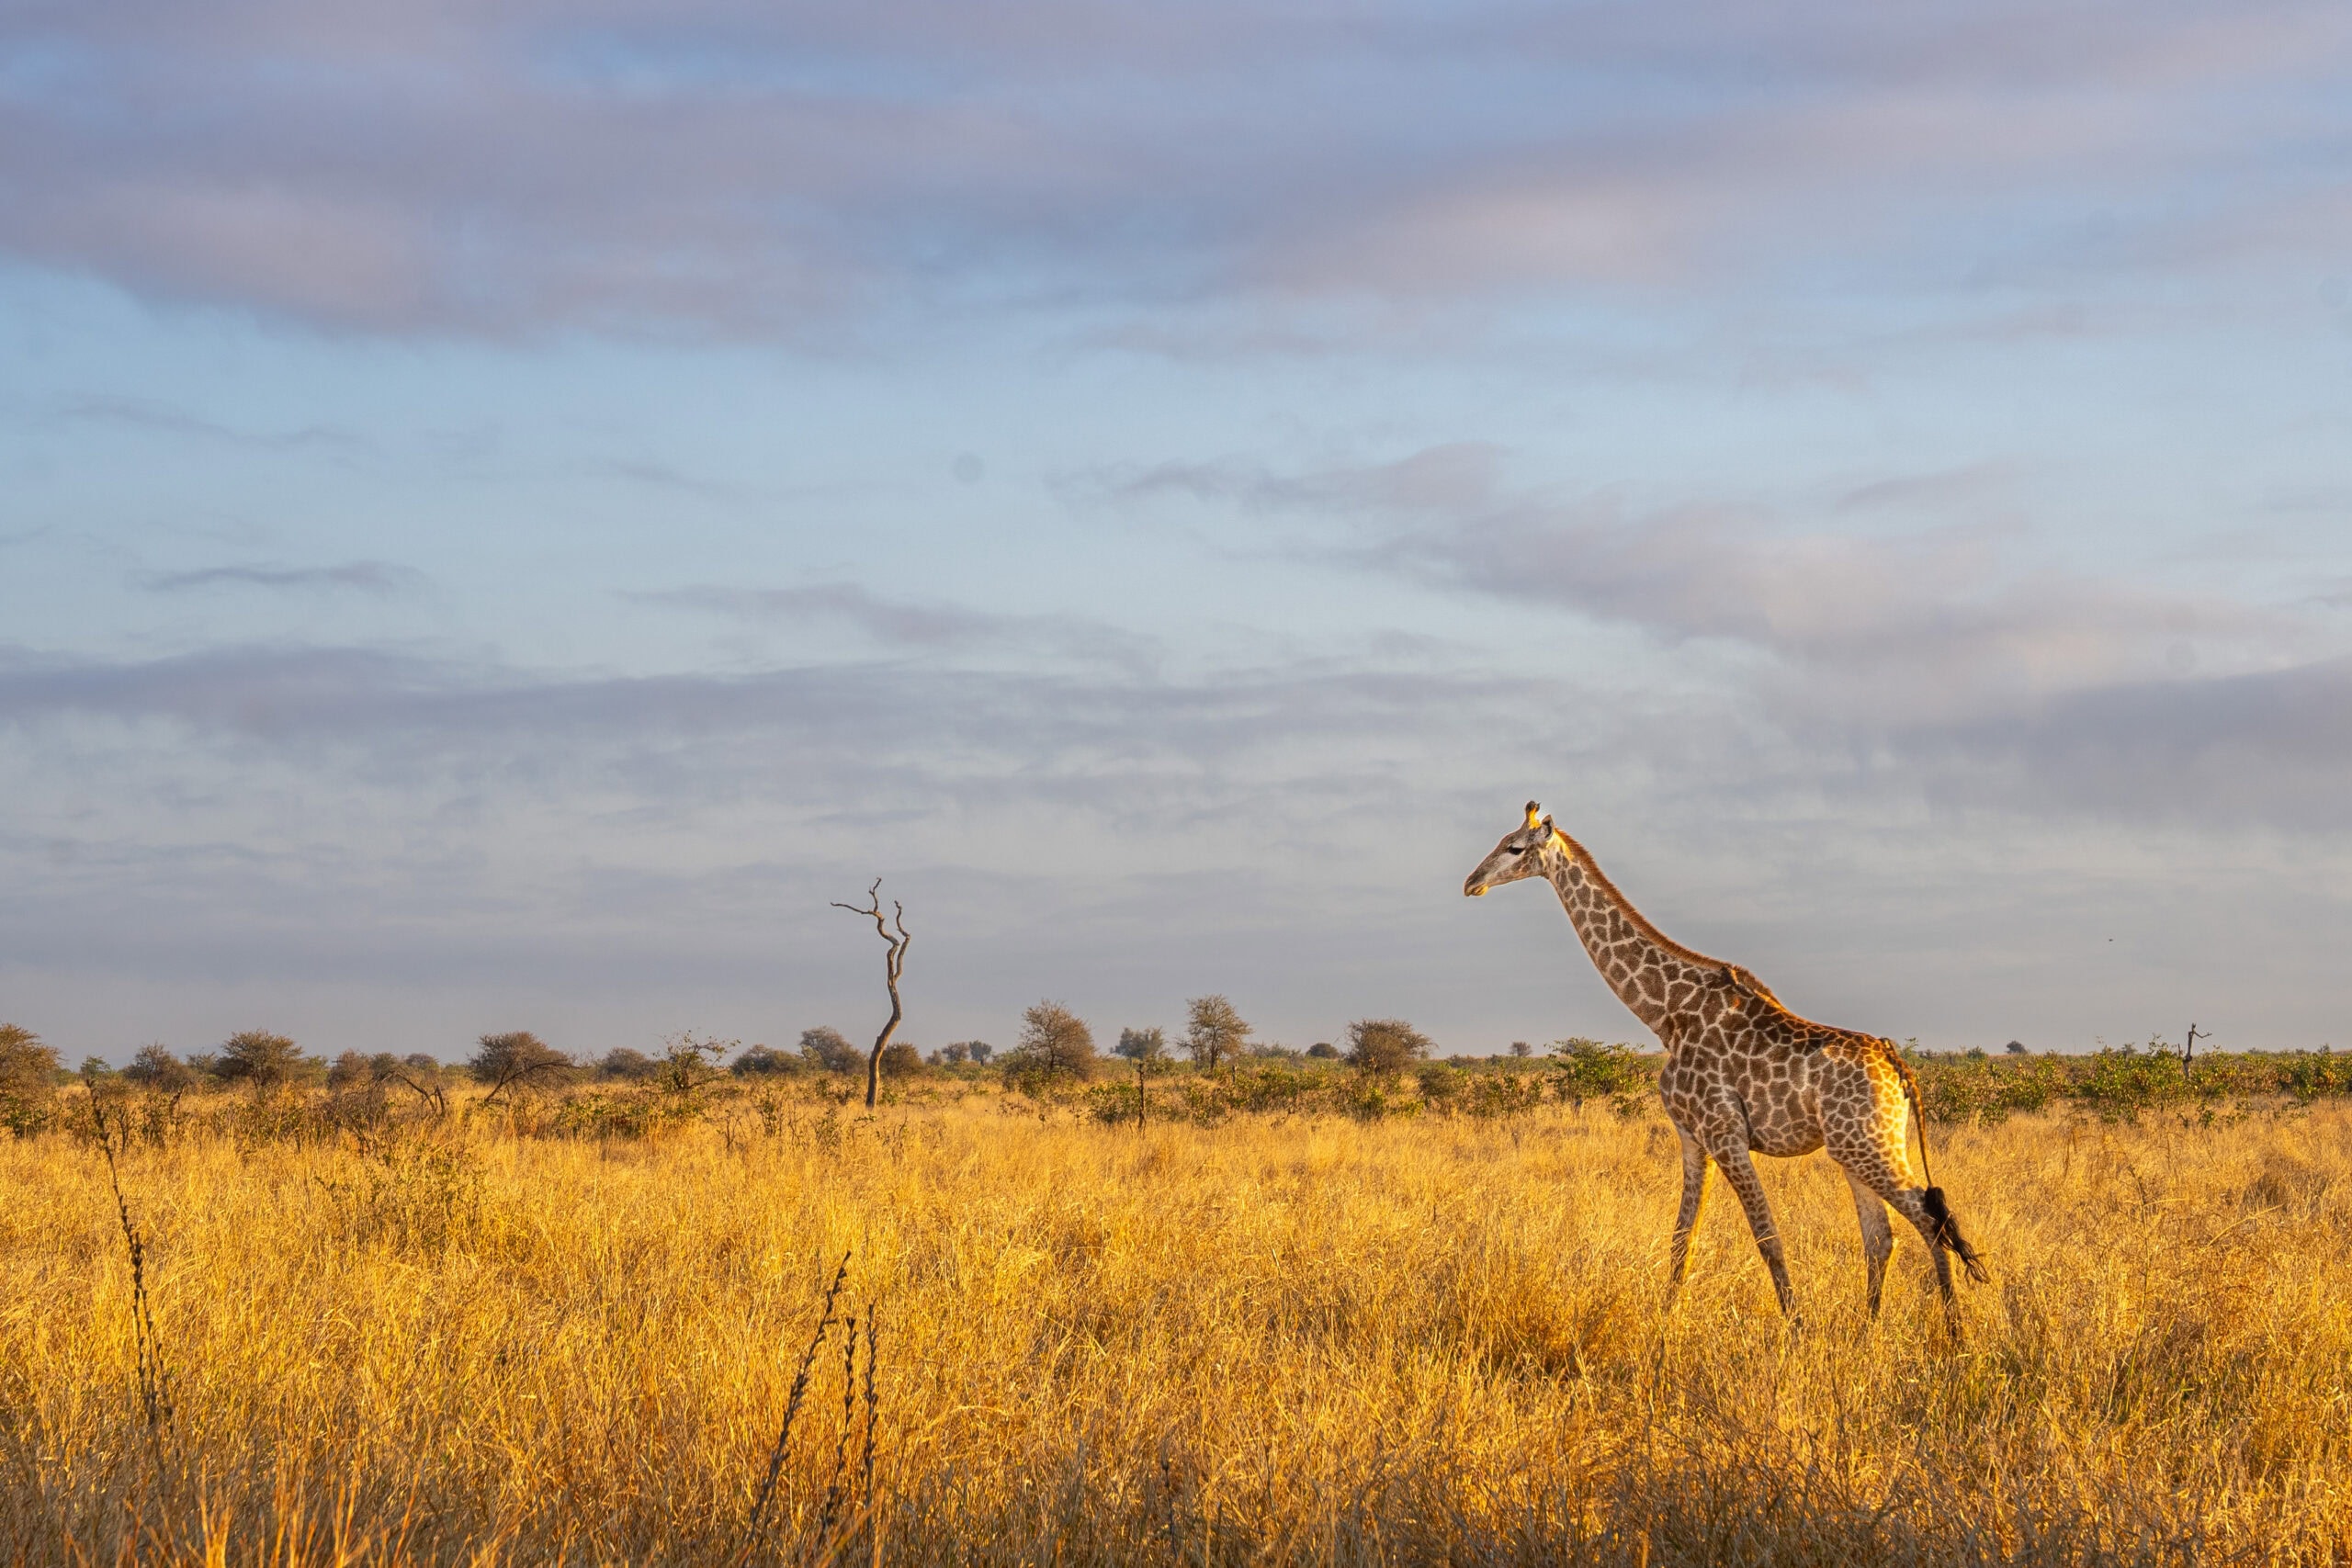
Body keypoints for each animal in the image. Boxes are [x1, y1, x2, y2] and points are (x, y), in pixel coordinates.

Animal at [1464, 802, 1986, 1322]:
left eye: (1514, 847)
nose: (1472, 881)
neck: (1666, 1015)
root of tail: (1900, 1069)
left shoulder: (1725, 1133)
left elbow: (1768, 1237)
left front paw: (1796, 1329)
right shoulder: (1692, 1137)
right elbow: (1682, 1237)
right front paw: (1666, 1322)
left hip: (1867, 1145)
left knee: (1930, 1221)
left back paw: (1954, 1331)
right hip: (1859, 1147)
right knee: (1882, 1237)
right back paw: (1867, 1331)